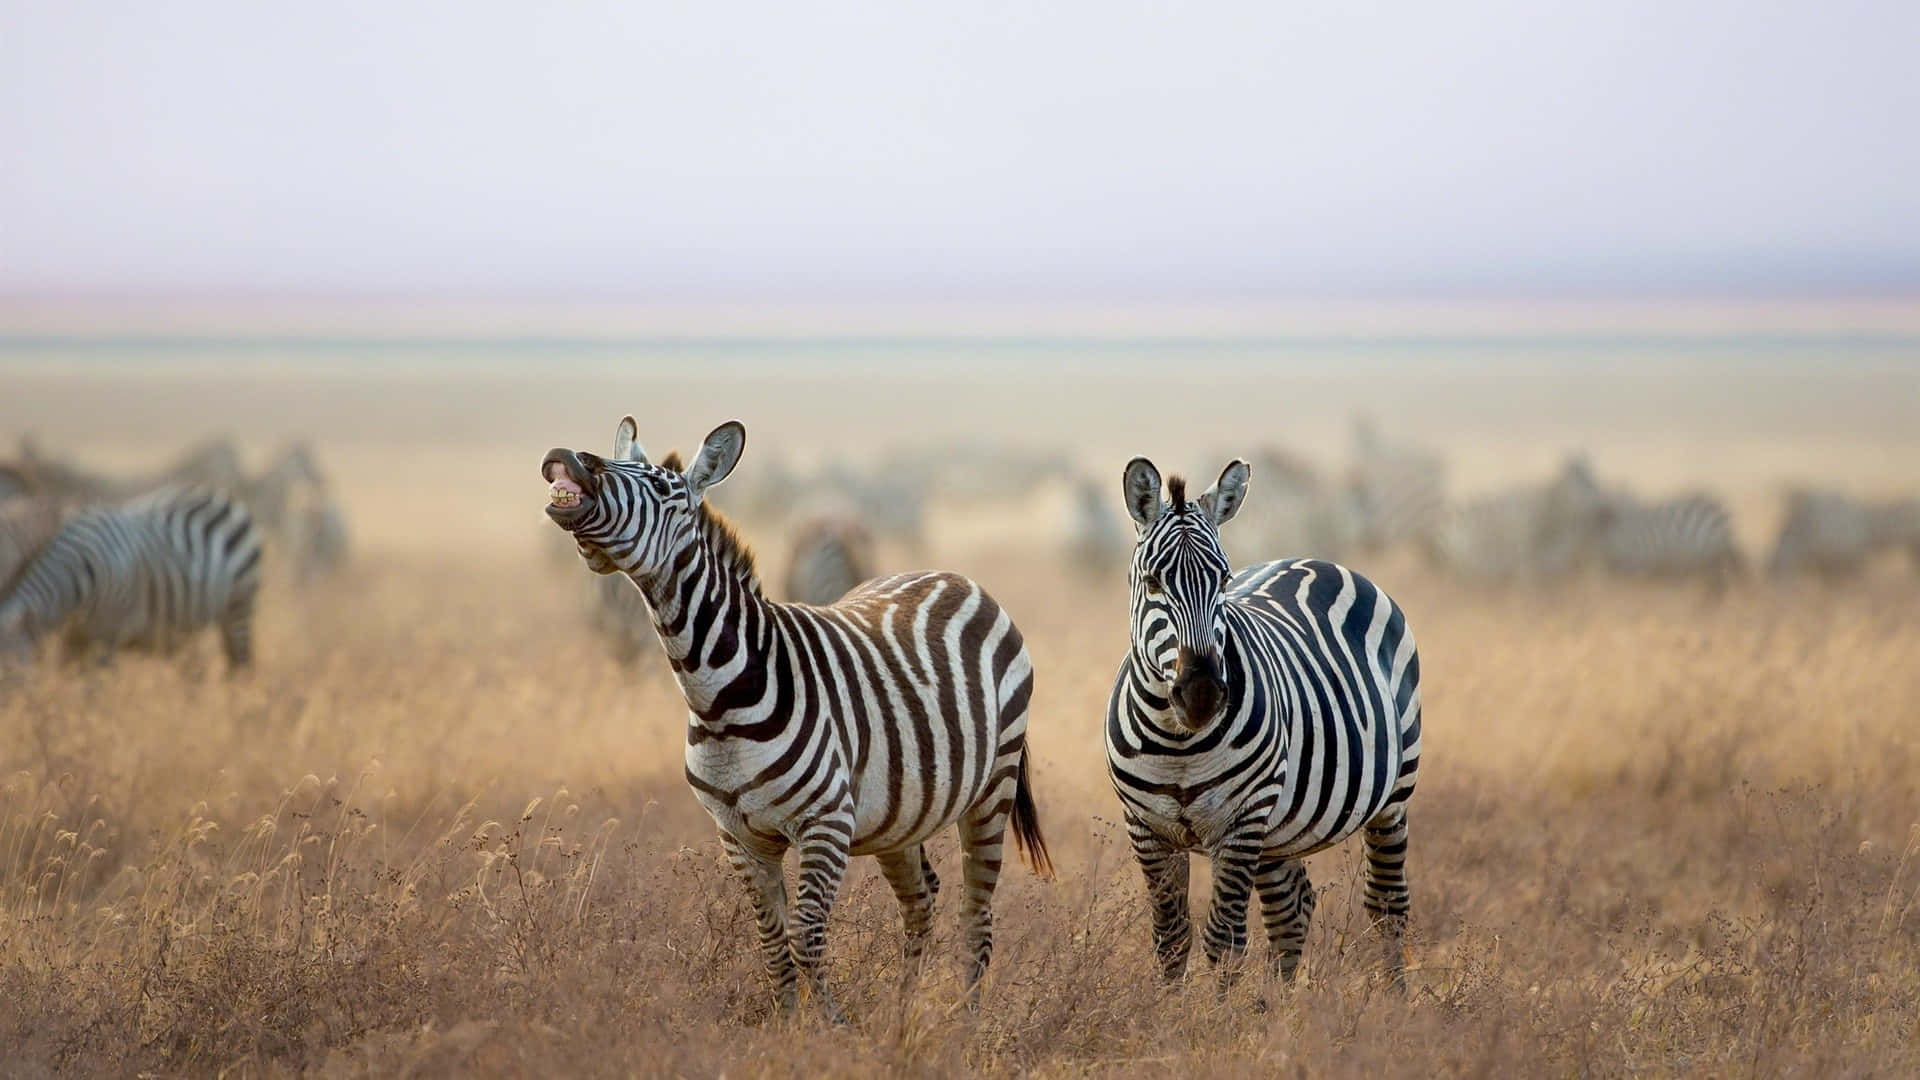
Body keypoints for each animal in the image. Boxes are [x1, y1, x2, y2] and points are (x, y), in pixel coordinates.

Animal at [0, 486, 264, 668]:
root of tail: (220, 495)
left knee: (240, 665)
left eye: (8, 669)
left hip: (239, 605)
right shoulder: (75, 639)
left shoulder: (109, 634)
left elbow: (95, 687)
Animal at [541, 417, 1052, 1014]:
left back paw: (961, 1020)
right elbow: (772, 942)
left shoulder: (825, 823)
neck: (719, 699)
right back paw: (901, 1014)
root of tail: (952, 576)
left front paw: (834, 1027)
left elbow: (806, 937)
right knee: (921, 898)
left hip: (993, 788)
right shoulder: (738, 836)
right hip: (900, 813)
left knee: (977, 915)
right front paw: (787, 1025)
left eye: (664, 489)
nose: (567, 456)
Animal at [1105, 453, 1420, 991]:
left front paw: (1217, 1015)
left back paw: (1394, 1001)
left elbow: (1223, 941)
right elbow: (1171, 939)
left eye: (1222, 580)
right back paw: (1275, 1005)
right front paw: (1167, 1011)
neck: (1177, 741)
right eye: (1152, 583)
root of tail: (1315, 560)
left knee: (1387, 906)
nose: (1202, 694)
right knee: (1292, 909)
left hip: (1393, 795)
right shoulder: (1145, 826)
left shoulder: (1241, 820)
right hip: (1280, 829)